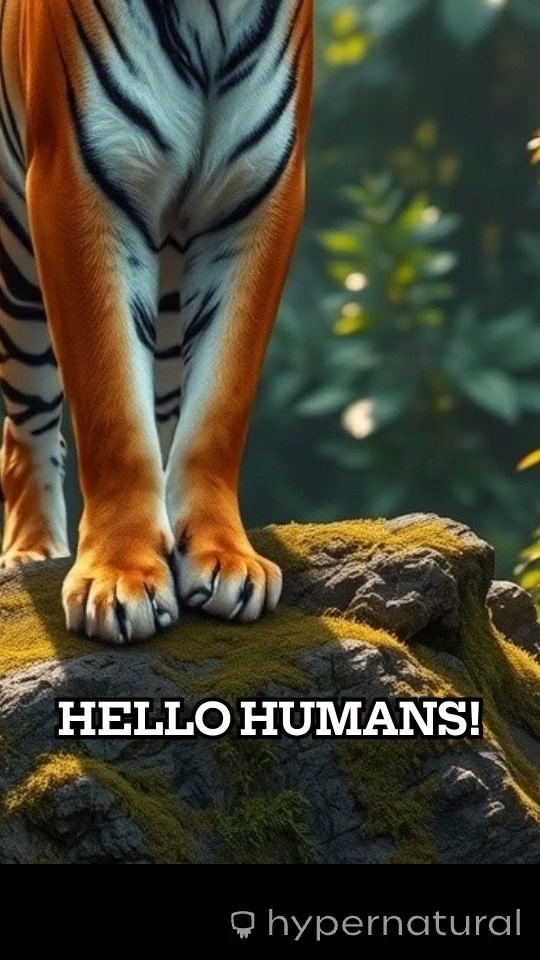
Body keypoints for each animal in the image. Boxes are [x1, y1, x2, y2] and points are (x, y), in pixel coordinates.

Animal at [0, 0, 313, 644]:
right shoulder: (79, 181)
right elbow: (113, 410)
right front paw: (120, 576)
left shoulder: (259, 193)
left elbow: (218, 408)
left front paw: (225, 557)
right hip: (17, 257)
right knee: (25, 430)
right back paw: (32, 552)